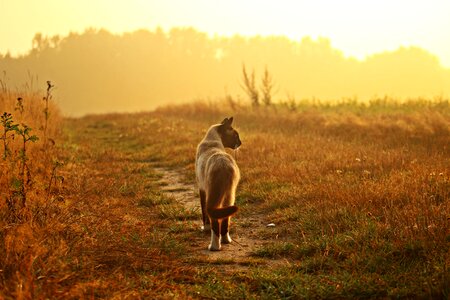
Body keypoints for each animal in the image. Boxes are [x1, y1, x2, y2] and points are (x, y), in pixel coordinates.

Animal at [195, 117, 241, 251]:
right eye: (236, 136)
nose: (241, 143)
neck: (213, 140)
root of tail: (223, 164)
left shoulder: (202, 189)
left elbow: (204, 213)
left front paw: (205, 228)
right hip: (230, 196)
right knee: (225, 220)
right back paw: (226, 240)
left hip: (212, 195)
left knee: (214, 219)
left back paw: (214, 246)